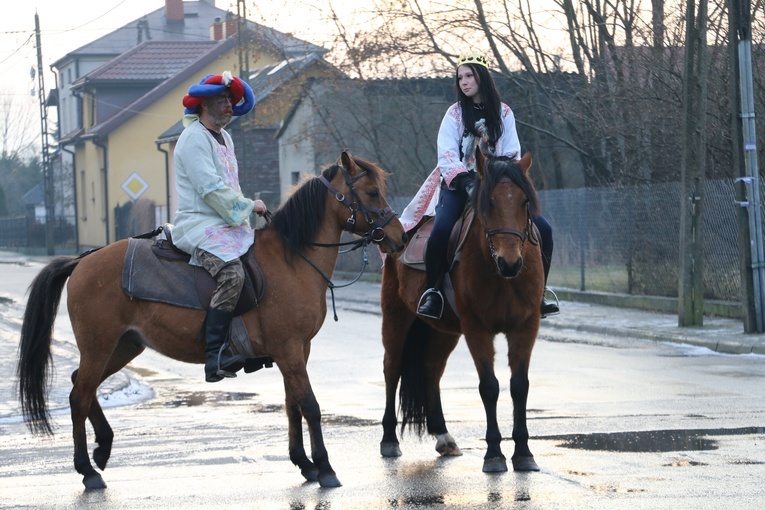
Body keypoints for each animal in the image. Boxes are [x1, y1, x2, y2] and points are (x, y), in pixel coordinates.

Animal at [16, 150, 406, 490]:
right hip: (100, 346)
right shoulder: (290, 349)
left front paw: (304, 463)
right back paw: (87, 470)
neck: (293, 258)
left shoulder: (296, 352)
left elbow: (291, 404)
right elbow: (309, 405)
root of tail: (82, 261)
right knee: (79, 395)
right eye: (372, 192)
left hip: (123, 347)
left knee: (81, 385)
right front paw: (324, 467)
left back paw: (103, 447)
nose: (399, 237)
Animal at [380, 151, 540, 474]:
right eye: (487, 202)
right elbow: (489, 387)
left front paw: (523, 453)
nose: (510, 262)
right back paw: (389, 440)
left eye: (524, 202)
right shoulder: (476, 328)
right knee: (392, 368)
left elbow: (519, 386)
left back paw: (444, 436)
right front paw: (494, 454)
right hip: (396, 316)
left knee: (431, 370)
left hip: (442, 330)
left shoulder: (526, 326)